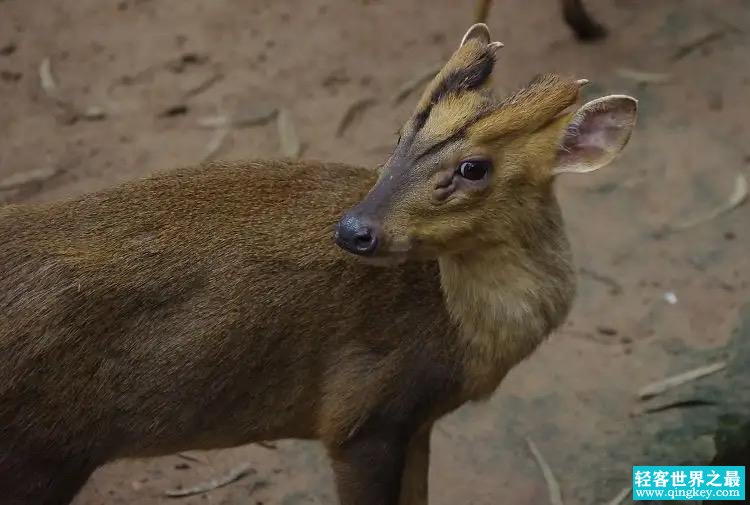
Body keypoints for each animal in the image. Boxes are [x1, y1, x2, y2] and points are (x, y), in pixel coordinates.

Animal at [0, 23, 636, 504]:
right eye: (399, 135)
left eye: (474, 168)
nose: (354, 230)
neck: (458, 332)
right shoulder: (361, 416)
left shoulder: (415, 419)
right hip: (40, 456)